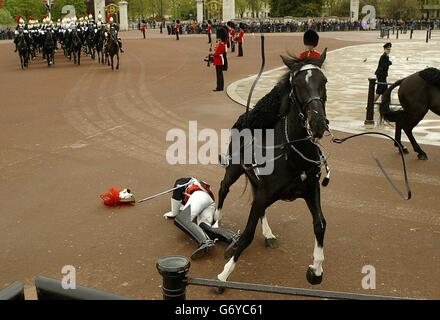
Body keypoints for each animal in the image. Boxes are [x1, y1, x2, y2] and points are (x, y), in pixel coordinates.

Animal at [217, 50, 330, 288]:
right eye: (296, 84)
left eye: (324, 81)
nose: (317, 123)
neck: (292, 153)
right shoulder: (264, 193)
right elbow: (247, 234)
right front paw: (225, 273)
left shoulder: (311, 190)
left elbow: (320, 224)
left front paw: (316, 269)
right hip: (234, 170)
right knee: (223, 188)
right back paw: (214, 220)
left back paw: (268, 234)